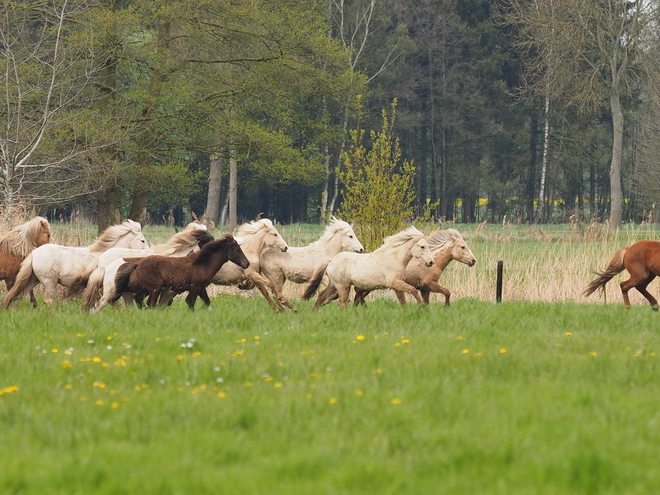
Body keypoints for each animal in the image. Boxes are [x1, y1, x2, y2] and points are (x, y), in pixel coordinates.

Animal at [1, 220, 148, 308]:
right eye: (142, 240)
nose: (148, 254)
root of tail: (34, 253)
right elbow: (114, 303)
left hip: (33, 279)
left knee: (18, 296)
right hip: (49, 282)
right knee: (47, 300)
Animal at [112, 233, 249, 310]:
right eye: (237, 249)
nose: (246, 264)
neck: (202, 263)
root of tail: (137, 264)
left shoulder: (201, 288)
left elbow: (207, 302)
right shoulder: (196, 287)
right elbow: (190, 302)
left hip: (148, 288)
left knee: (140, 299)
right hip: (155, 288)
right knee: (150, 303)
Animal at [304, 226, 438, 310]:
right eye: (422, 246)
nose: (431, 262)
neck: (395, 258)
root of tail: (331, 260)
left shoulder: (397, 285)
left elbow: (403, 302)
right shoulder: (394, 282)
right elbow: (413, 290)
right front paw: (421, 306)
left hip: (333, 284)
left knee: (321, 296)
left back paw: (313, 312)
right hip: (343, 286)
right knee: (341, 302)